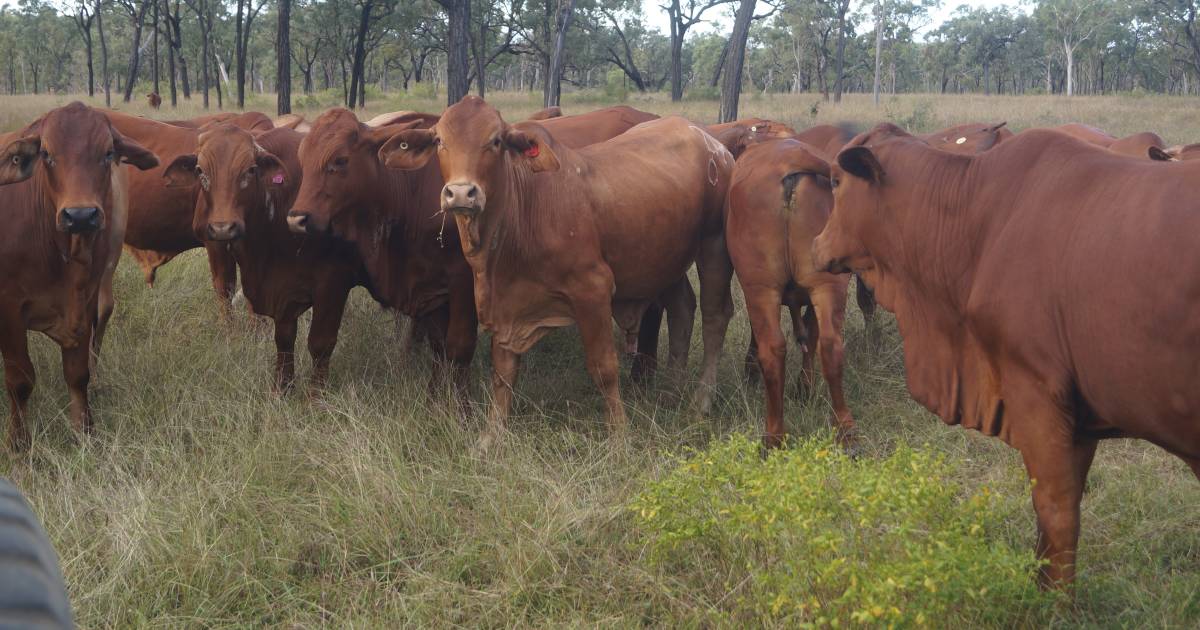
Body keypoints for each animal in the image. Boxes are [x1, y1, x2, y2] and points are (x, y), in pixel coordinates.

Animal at [0, 102, 158, 446]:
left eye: (108, 153)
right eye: (46, 154)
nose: (81, 215)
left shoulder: (86, 300)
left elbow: (78, 373)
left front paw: (84, 431)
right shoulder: (9, 309)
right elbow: (20, 380)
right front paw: (19, 442)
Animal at [163, 124, 364, 391]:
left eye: (250, 170)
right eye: (200, 171)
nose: (223, 227)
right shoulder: (220, 249)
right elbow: (226, 291)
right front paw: (236, 335)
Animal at [724, 139, 859, 448]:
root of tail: (791, 156)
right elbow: (811, 332)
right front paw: (805, 387)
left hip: (760, 287)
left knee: (773, 350)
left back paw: (774, 434)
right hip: (828, 284)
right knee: (831, 346)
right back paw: (845, 429)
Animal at [811, 124, 1200, 590]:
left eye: (836, 181)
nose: (815, 244)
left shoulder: (1036, 394)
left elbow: (1056, 515)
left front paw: (1052, 602)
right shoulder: (1078, 419)